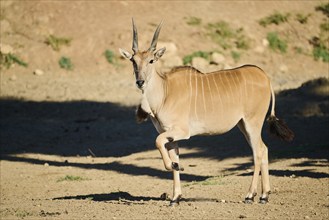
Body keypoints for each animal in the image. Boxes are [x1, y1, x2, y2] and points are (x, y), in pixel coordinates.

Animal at [119, 19, 294, 206]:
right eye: (133, 61)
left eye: (151, 60)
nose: (140, 82)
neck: (166, 91)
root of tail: (265, 77)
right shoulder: (171, 136)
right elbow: (173, 156)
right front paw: (175, 197)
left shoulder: (181, 132)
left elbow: (158, 142)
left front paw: (174, 169)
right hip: (243, 126)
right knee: (264, 149)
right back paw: (264, 195)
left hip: (252, 123)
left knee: (258, 152)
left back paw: (250, 195)